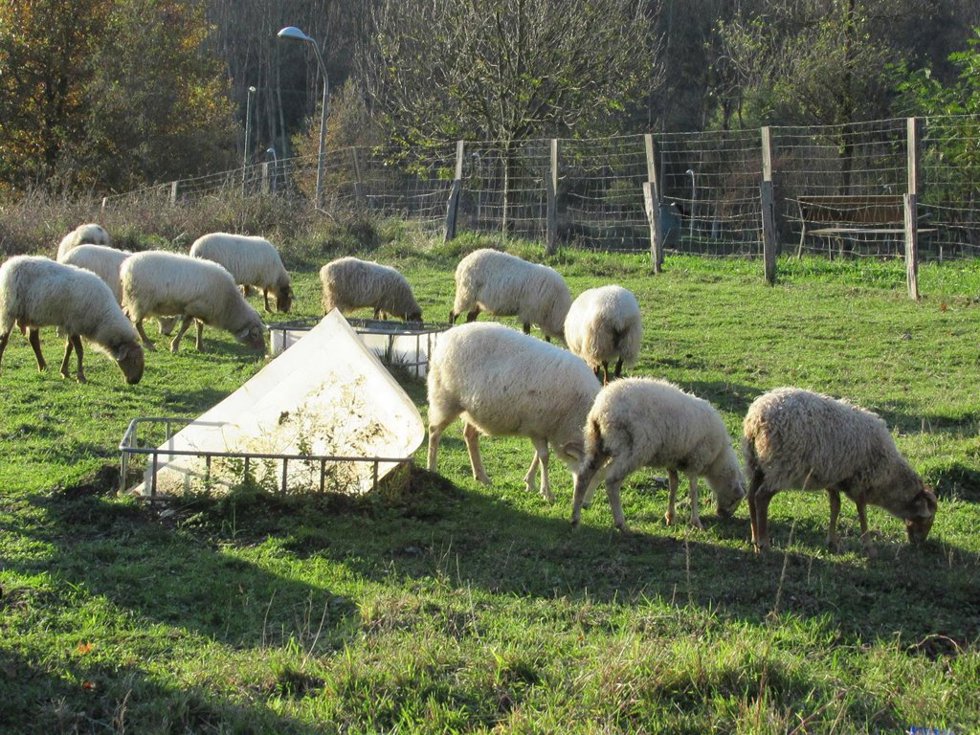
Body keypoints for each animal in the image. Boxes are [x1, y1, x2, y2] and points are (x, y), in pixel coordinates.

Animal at [0, 255, 144, 384]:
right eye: (134, 360)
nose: (135, 381)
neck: (102, 318)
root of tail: (8, 264)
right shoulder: (75, 323)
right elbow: (79, 351)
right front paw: (81, 377)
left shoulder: (70, 324)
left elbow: (69, 348)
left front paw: (65, 372)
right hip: (9, 310)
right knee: (4, 339)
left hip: (32, 315)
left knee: (33, 340)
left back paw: (43, 367)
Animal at [119, 251, 266, 354]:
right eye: (255, 334)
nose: (263, 350)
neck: (228, 304)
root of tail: (126, 266)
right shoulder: (192, 307)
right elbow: (185, 326)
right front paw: (174, 346)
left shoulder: (201, 309)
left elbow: (199, 327)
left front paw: (200, 346)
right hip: (141, 300)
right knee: (137, 323)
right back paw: (148, 344)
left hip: (132, 299)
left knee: (126, 314)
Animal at [426, 322, 601, 502]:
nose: (585, 504)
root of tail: (447, 335)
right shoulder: (537, 425)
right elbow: (544, 457)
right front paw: (546, 492)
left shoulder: (542, 428)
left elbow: (539, 456)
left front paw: (530, 482)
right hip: (445, 398)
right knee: (434, 431)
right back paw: (432, 469)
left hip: (472, 409)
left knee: (469, 435)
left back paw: (481, 476)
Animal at [571, 378, 745, 531]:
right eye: (736, 499)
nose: (722, 515)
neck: (718, 458)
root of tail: (601, 409)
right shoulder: (696, 460)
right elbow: (693, 491)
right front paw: (696, 521)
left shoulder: (672, 460)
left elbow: (674, 485)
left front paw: (670, 516)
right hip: (633, 450)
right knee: (612, 482)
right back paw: (621, 523)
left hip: (596, 443)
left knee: (583, 476)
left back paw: (575, 519)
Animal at [742, 387, 937, 555]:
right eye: (927, 518)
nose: (919, 543)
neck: (890, 477)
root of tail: (756, 418)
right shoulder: (860, 481)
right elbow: (862, 511)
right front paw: (868, 546)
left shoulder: (834, 477)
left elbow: (835, 506)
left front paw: (832, 541)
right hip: (781, 467)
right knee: (762, 497)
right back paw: (764, 543)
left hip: (756, 464)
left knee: (751, 495)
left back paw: (754, 538)